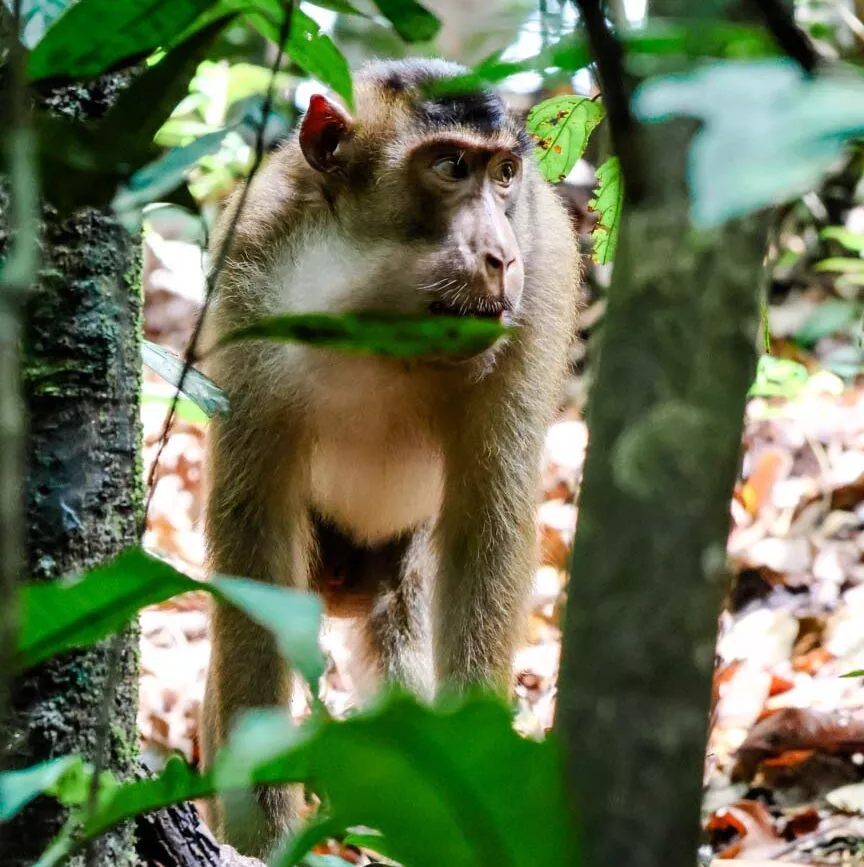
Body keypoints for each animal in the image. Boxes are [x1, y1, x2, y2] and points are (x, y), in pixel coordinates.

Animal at [198, 58, 582, 857]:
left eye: (504, 174)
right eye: (450, 166)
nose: (502, 256)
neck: (377, 306)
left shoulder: (543, 284)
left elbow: (486, 533)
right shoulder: (248, 269)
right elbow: (254, 542)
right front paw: (262, 838)